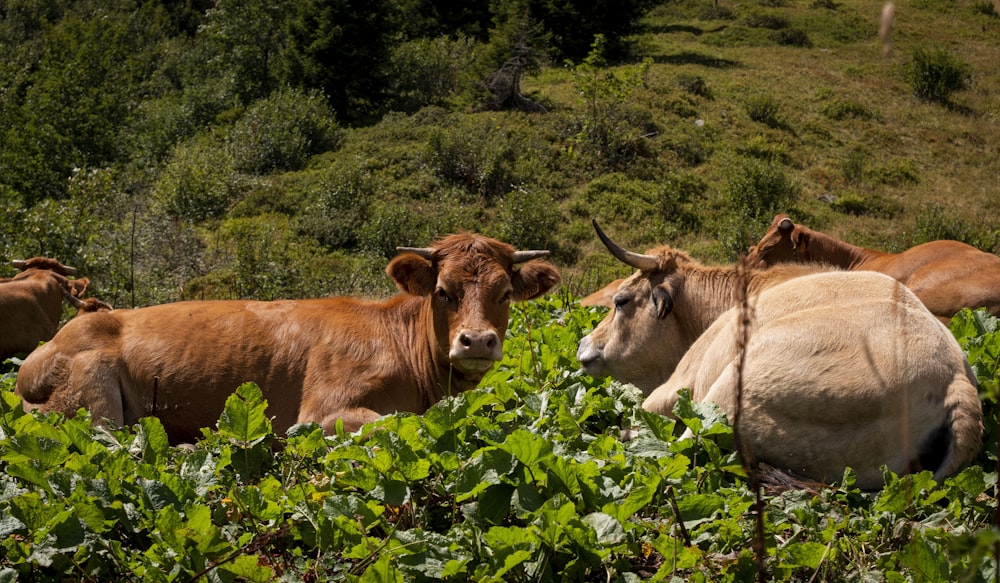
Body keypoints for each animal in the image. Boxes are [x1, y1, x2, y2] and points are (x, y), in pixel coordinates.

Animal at [17, 233, 564, 442]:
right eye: (444, 292)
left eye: (505, 294)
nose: (477, 342)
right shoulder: (321, 410)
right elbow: (393, 425)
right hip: (90, 398)